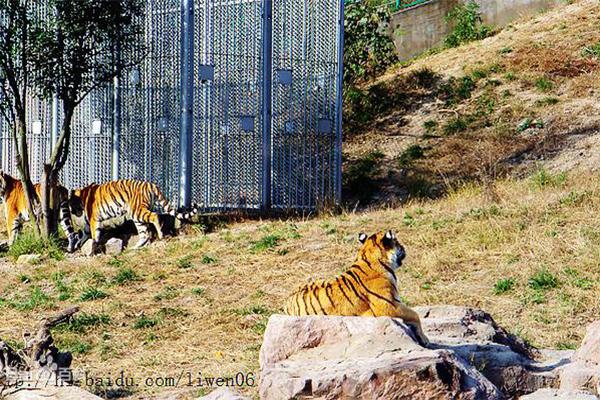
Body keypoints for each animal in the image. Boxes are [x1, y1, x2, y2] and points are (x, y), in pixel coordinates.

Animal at [284, 230, 428, 346]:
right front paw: (425, 339)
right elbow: (414, 314)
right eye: (397, 242)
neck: (368, 257)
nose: (404, 248)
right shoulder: (388, 306)